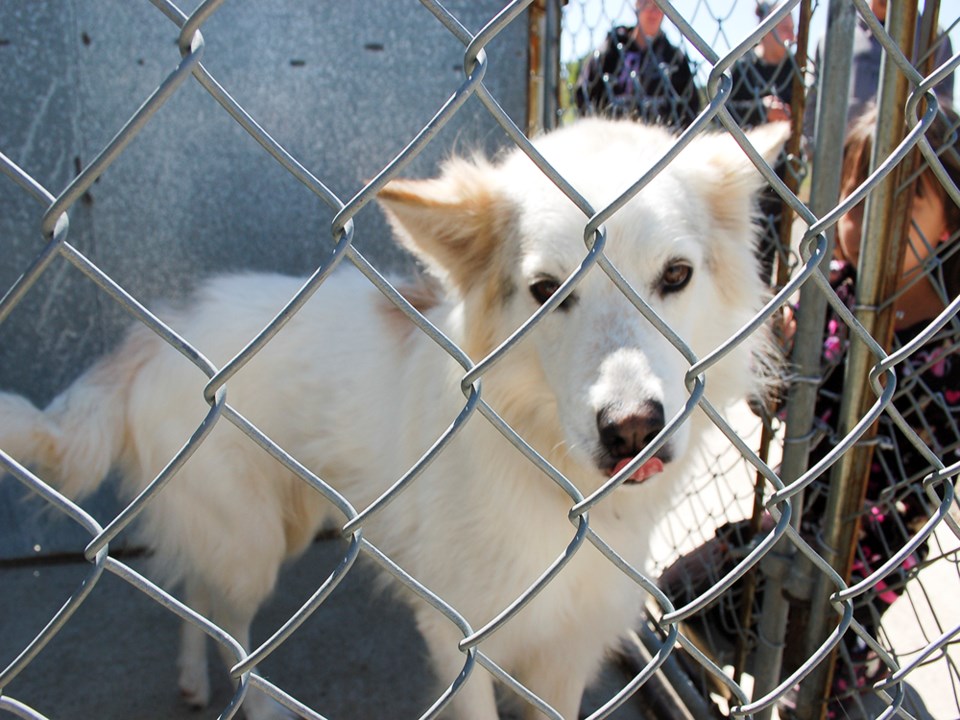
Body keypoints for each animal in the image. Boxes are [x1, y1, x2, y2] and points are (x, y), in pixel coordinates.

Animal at [0, 119, 784, 720]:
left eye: (676, 276)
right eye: (545, 290)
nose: (632, 429)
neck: (551, 479)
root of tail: (158, 334)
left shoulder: (568, 652)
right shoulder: (460, 640)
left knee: (196, 590)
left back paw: (193, 680)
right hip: (255, 541)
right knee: (228, 622)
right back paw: (257, 702)